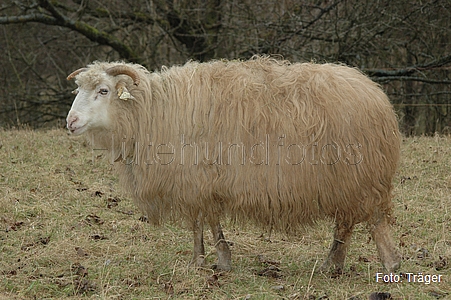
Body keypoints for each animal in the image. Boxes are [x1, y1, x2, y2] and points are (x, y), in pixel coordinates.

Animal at [65, 56, 400, 274]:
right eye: (78, 90)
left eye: (103, 90)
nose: (71, 122)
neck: (152, 111)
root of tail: (375, 94)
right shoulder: (204, 181)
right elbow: (207, 220)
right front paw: (213, 259)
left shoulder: (195, 179)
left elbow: (200, 222)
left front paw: (205, 261)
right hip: (345, 181)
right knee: (346, 223)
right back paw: (333, 264)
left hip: (361, 175)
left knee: (373, 221)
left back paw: (390, 263)